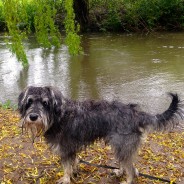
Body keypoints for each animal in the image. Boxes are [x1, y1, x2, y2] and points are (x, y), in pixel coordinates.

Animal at [18, 86, 183, 184]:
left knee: (131, 168)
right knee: (126, 164)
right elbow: (74, 162)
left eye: (45, 103)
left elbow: (66, 167)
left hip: (122, 145)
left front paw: (65, 179)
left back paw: (127, 180)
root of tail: (136, 114)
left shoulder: (65, 149)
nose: (33, 116)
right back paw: (119, 172)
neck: (58, 116)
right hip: (119, 145)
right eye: (29, 101)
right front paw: (74, 171)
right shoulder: (71, 148)